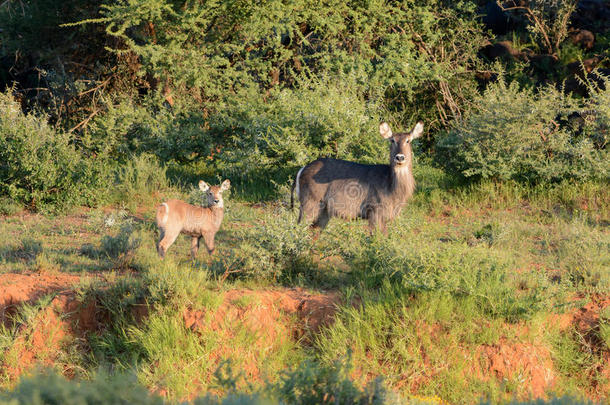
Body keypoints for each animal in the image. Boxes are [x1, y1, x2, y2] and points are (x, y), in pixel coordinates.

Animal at [290, 120, 422, 234]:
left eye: (408, 140)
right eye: (392, 140)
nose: (400, 157)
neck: (391, 187)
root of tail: (301, 170)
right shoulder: (374, 210)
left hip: (324, 211)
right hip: (310, 203)